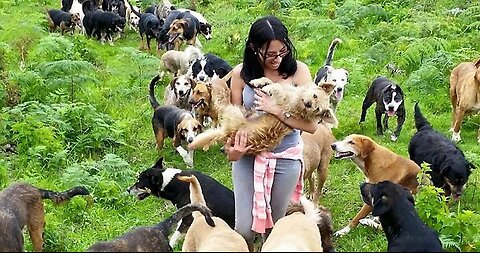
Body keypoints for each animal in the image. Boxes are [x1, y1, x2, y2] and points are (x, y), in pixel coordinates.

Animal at [188, 77, 338, 155]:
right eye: (315, 96)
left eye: (317, 108)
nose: (308, 104)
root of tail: (228, 133)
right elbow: (271, 80)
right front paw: (259, 81)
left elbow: (277, 86)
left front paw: (267, 88)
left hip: (232, 110)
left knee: (221, 104)